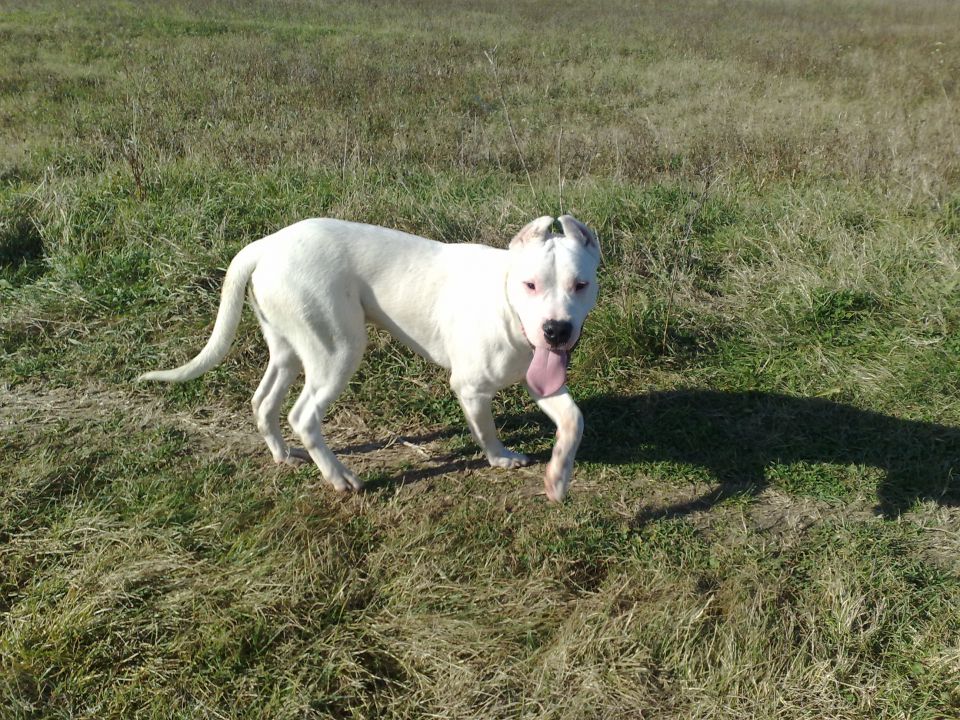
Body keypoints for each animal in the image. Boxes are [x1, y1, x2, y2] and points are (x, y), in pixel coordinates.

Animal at [141, 215, 600, 500]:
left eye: (580, 284)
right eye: (530, 285)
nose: (556, 330)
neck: (505, 301)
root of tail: (265, 246)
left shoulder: (541, 381)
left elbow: (574, 421)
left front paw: (558, 478)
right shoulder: (470, 388)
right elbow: (486, 431)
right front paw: (501, 458)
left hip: (289, 349)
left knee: (263, 402)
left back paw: (283, 455)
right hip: (337, 349)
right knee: (303, 416)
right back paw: (340, 478)